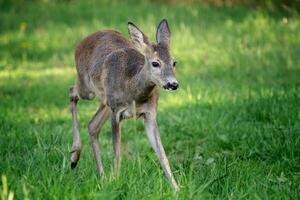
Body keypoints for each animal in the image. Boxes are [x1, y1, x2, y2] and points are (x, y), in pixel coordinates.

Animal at [69, 18, 179, 191]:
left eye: (174, 62)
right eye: (155, 63)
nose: (173, 84)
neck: (133, 92)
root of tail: (82, 42)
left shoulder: (150, 113)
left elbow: (162, 154)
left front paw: (176, 189)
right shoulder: (116, 112)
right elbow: (117, 152)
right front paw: (115, 181)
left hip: (105, 100)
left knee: (92, 125)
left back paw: (101, 176)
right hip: (88, 88)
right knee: (72, 91)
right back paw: (75, 157)